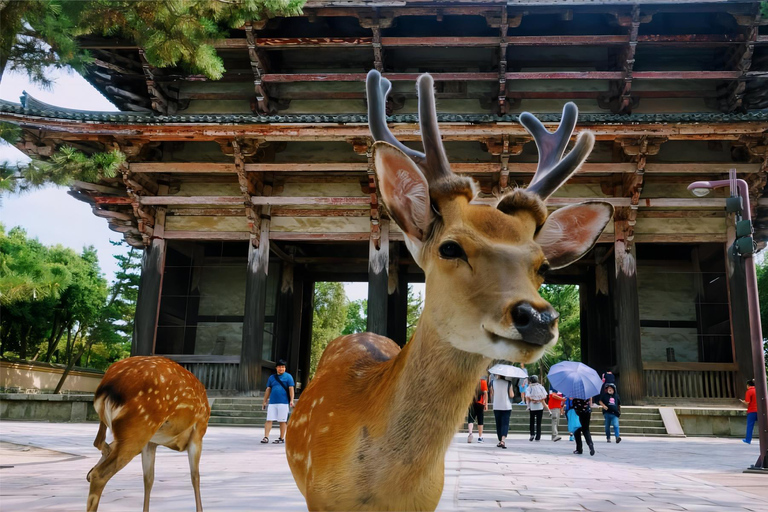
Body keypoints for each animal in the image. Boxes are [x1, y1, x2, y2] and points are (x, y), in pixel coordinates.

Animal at [86, 356, 210, 512]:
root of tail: (107, 386)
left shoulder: (151, 442)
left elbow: (148, 479)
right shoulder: (198, 432)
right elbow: (195, 477)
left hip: (127, 428)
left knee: (98, 443)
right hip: (140, 426)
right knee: (100, 474)